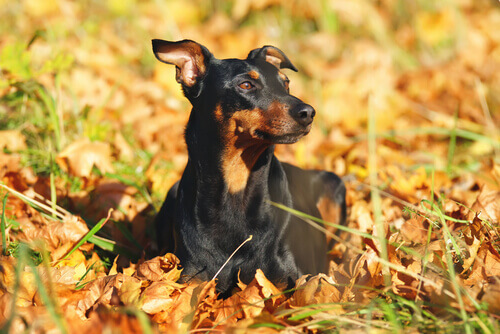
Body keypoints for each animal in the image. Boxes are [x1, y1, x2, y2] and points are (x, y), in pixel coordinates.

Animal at [152, 39, 346, 298]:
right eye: (246, 85)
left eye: (286, 83)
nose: (308, 112)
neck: (236, 183)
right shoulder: (192, 280)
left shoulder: (296, 281)